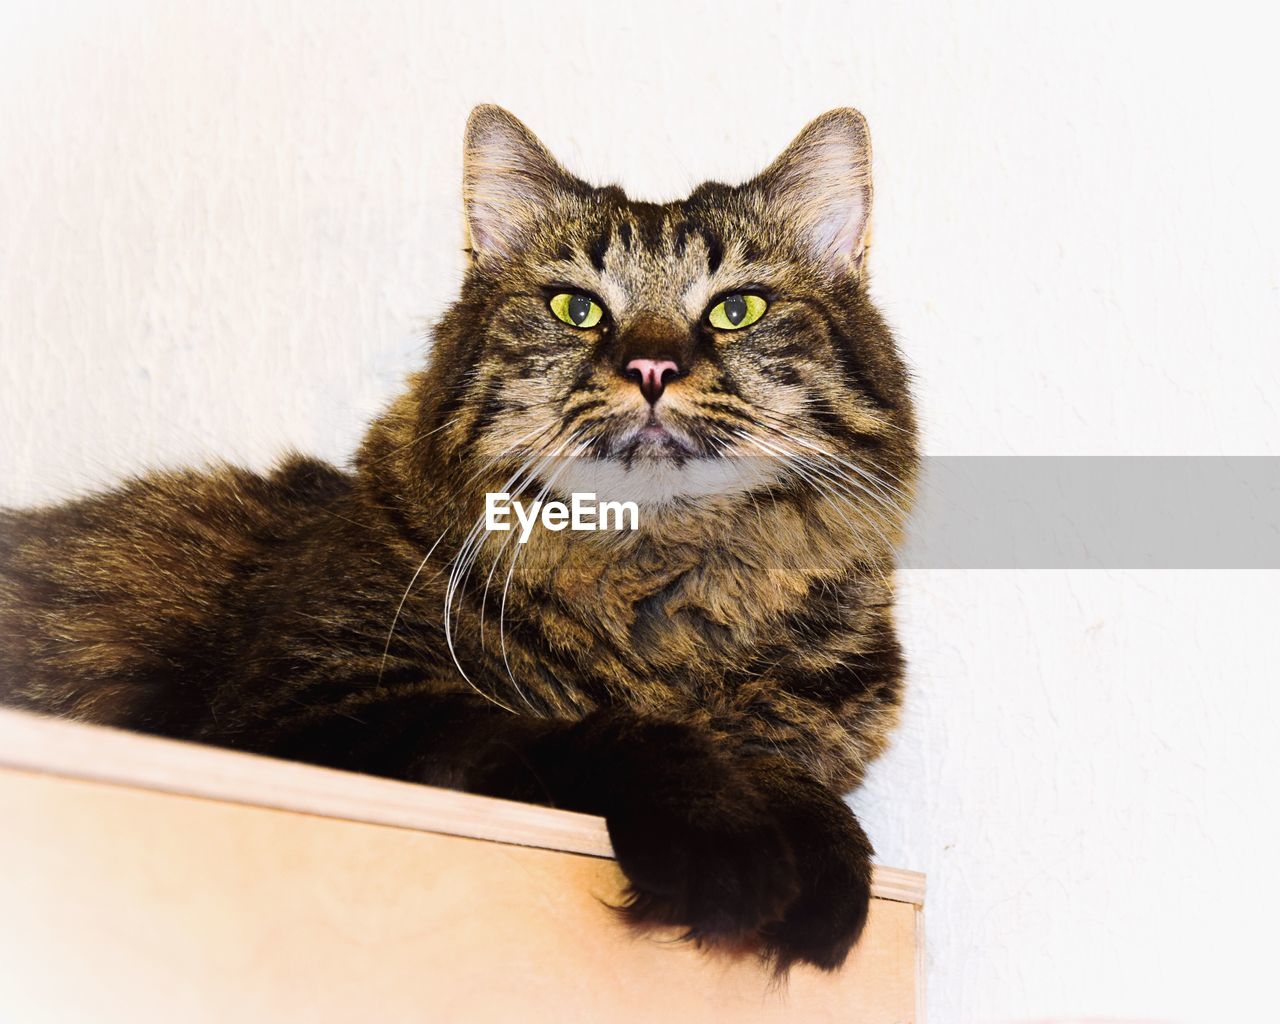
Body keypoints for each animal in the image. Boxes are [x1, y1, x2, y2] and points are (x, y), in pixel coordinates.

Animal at [0, 108, 921, 972]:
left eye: (738, 309)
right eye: (576, 308)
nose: (652, 369)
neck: (656, 594)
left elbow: (789, 776)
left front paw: (824, 857)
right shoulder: (304, 715)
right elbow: (603, 733)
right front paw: (737, 848)